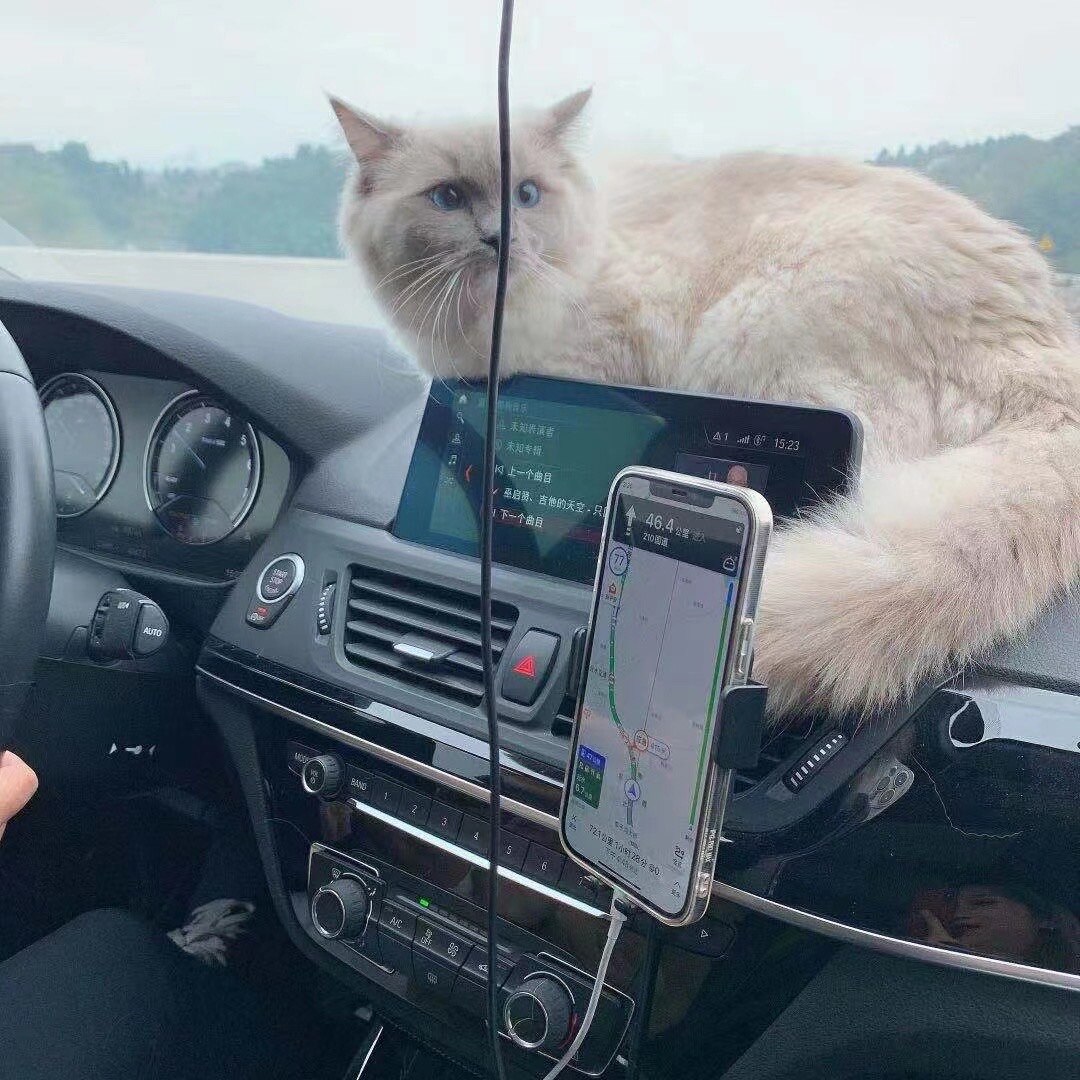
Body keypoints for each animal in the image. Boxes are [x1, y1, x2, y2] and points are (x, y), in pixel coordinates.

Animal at [330, 90, 1080, 720]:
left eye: (529, 194)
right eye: (448, 197)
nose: (500, 238)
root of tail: (1048, 353)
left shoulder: (605, 350)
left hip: (757, 327)